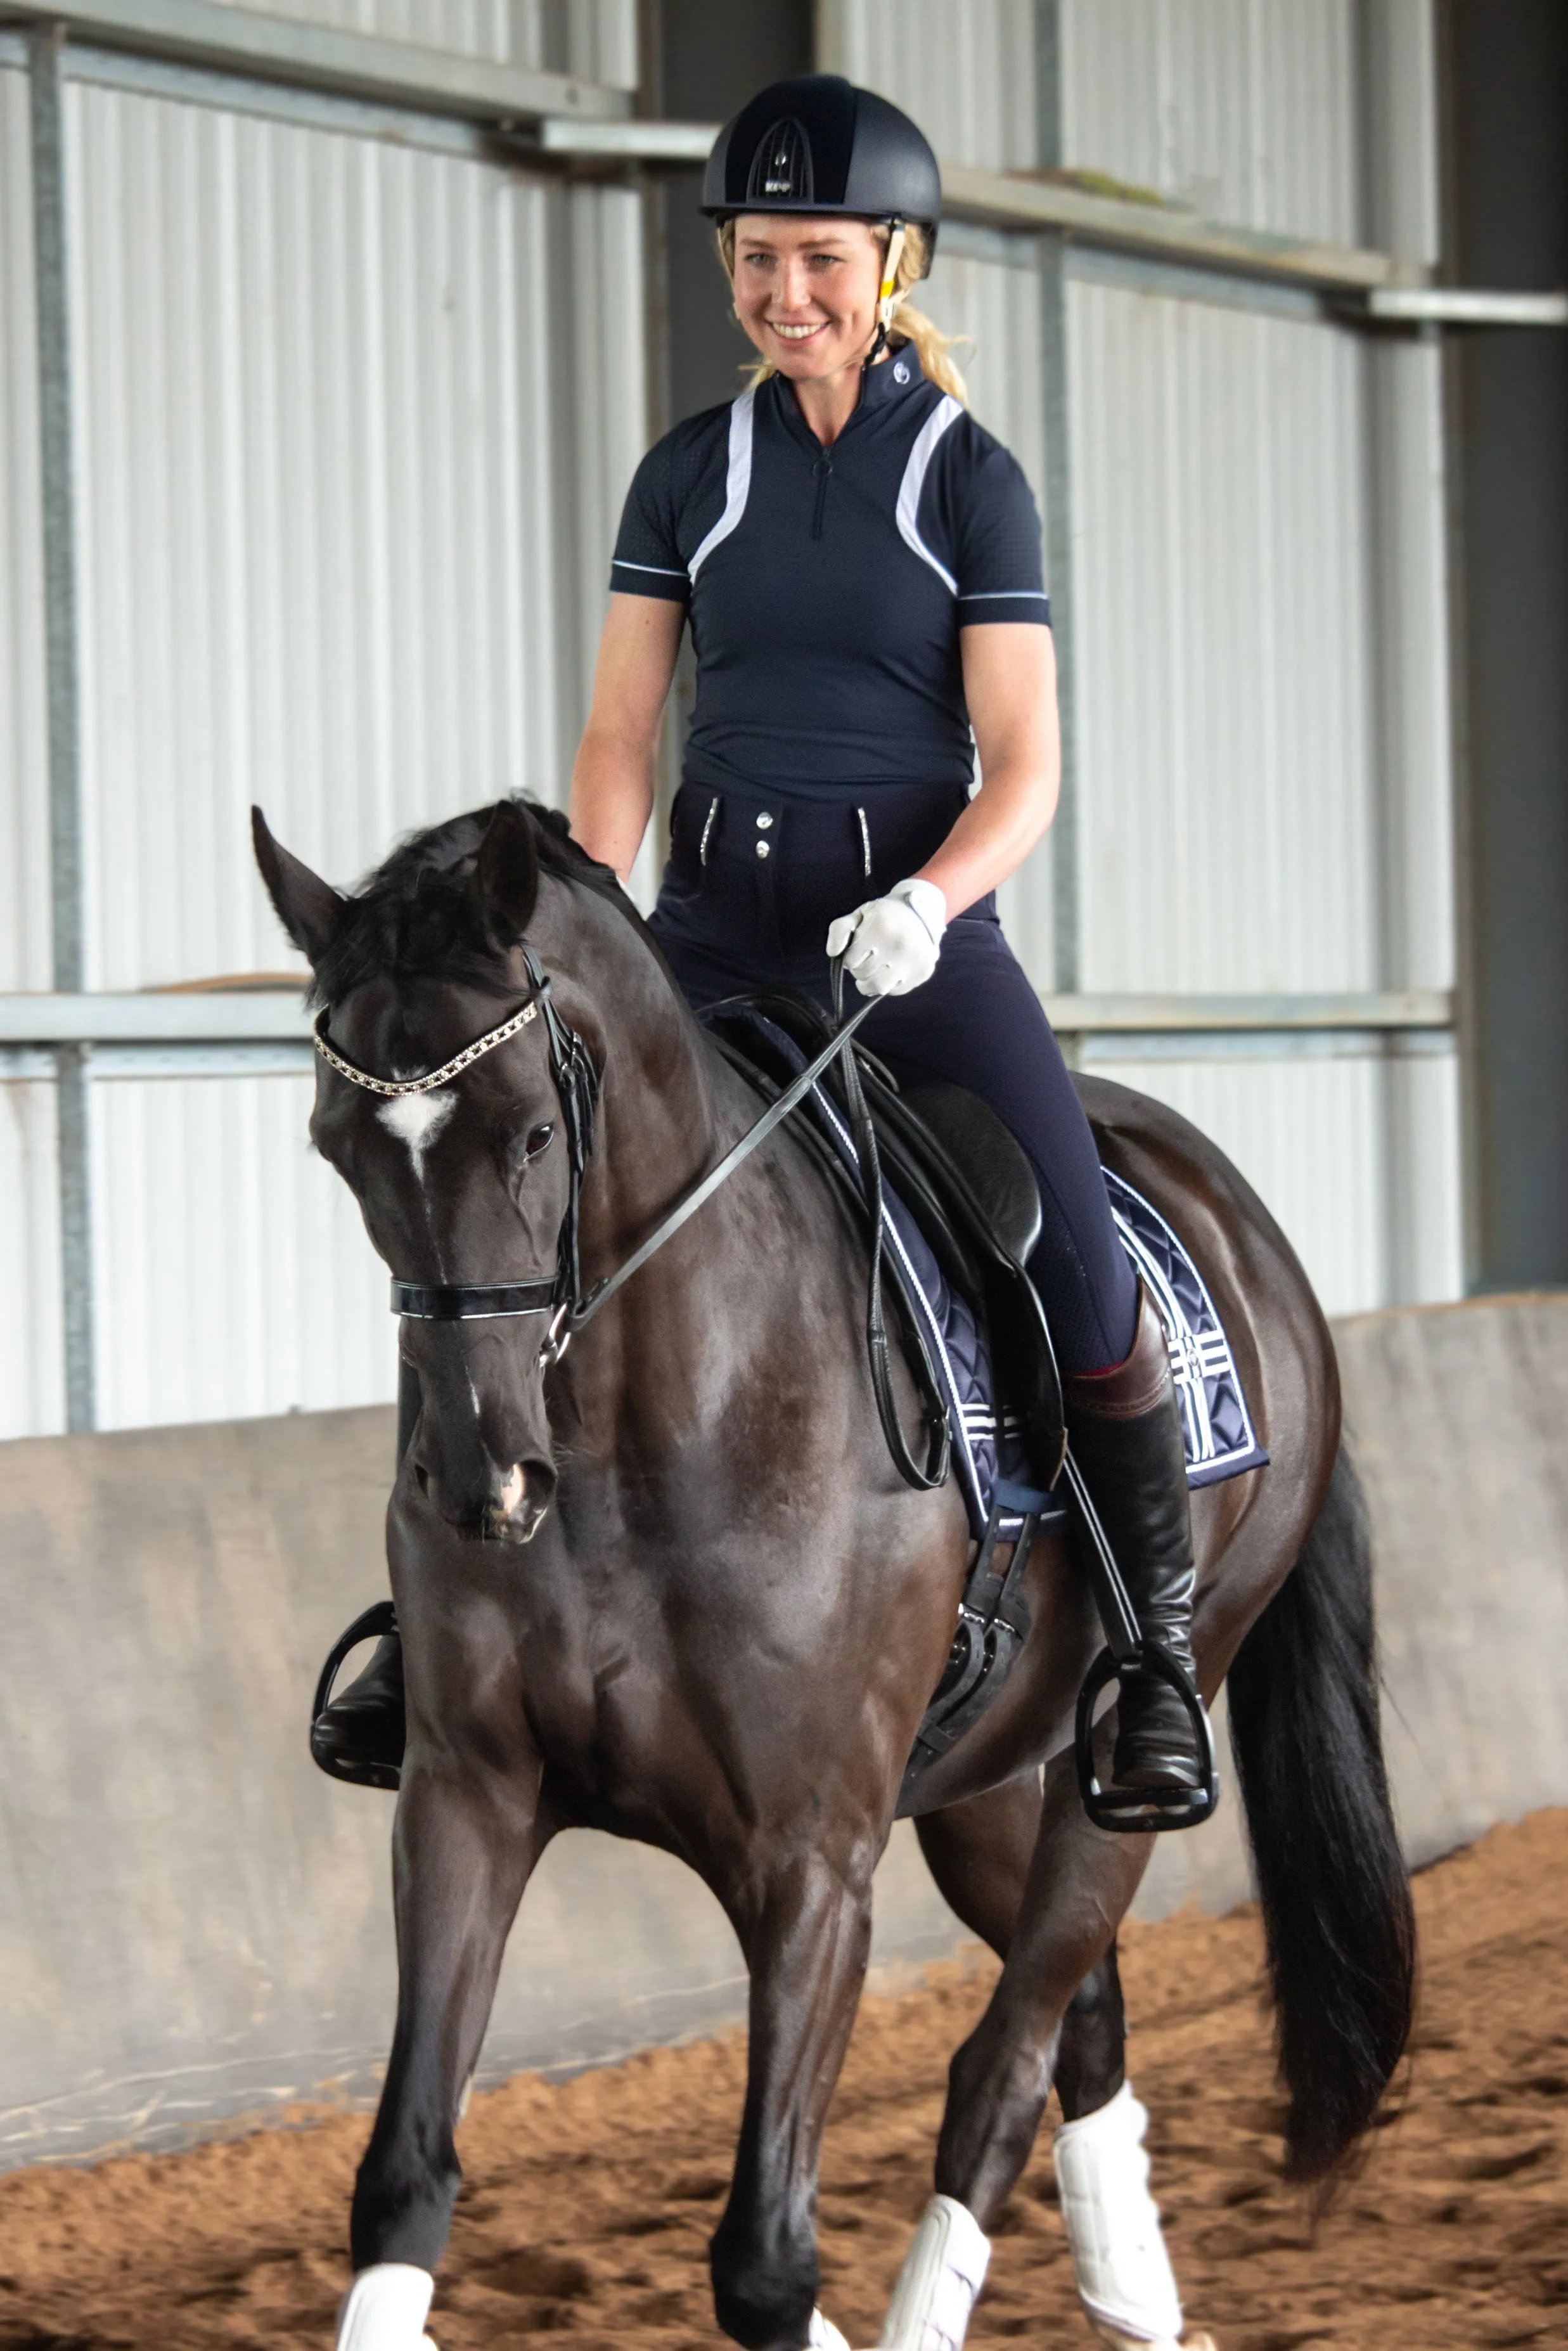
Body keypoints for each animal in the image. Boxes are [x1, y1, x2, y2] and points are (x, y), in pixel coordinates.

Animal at [255, 804, 1410, 2351]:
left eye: (534, 1130)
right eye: (337, 1151)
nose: (484, 1479)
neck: (645, 1430)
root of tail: (1246, 1223)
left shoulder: (810, 1865)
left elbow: (764, 2256)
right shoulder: (466, 1796)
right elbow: (401, 2175)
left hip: (1128, 1749)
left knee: (1006, 2056)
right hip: (980, 1779)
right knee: (1083, 2018)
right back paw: (1135, 2290)